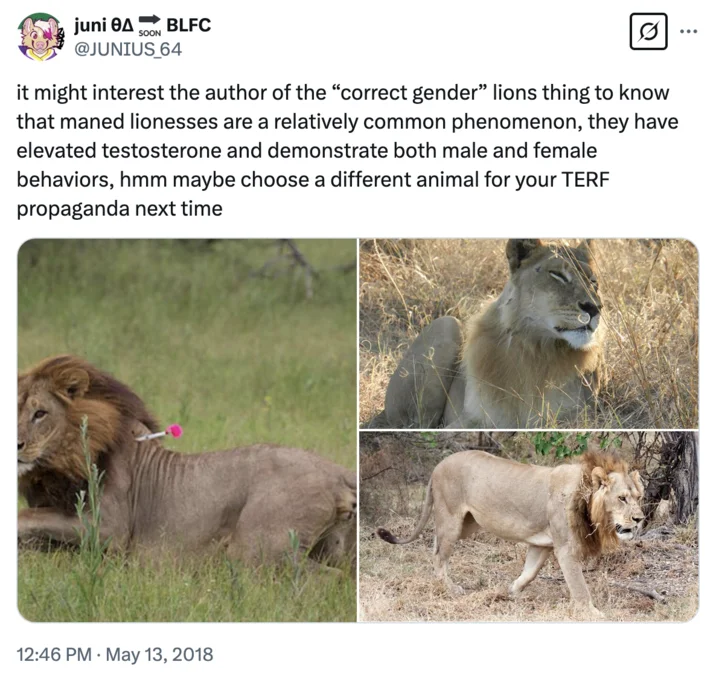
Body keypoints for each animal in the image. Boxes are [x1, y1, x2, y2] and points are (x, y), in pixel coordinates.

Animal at [18, 355, 356, 568]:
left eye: (40, 413)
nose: (15, 444)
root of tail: (337, 470)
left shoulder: (109, 527)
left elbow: (25, 516)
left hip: (258, 551)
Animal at [372, 239, 604, 428]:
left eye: (593, 281)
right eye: (557, 275)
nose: (595, 308)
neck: (536, 347)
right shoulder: (470, 419)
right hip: (446, 324)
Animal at [377, 450, 645, 616]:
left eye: (639, 497)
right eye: (622, 498)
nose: (640, 519)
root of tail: (437, 467)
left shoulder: (542, 544)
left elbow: (530, 572)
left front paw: (512, 591)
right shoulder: (565, 548)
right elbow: (579, 585)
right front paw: (593, 612)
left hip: (466, 524)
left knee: (435, 544)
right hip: (452, 518)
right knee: (439, 555)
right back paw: (449, 588)